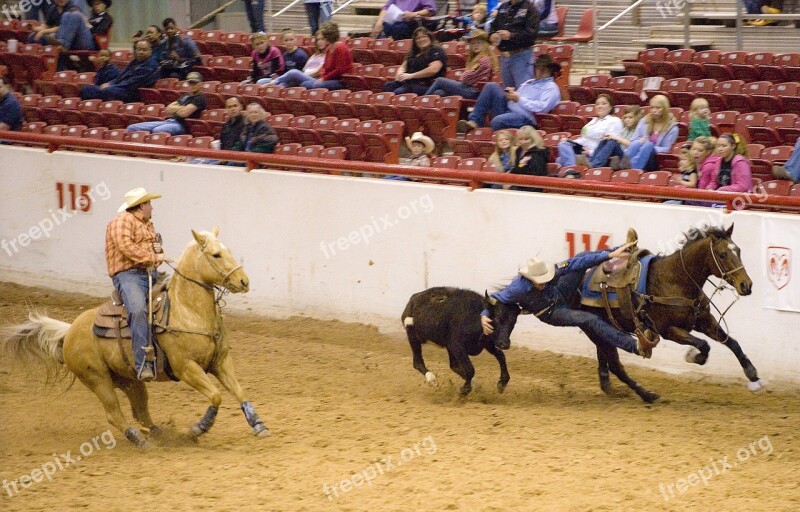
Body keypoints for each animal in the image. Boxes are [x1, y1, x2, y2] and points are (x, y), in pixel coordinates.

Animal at [0, 226, 272, 446]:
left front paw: (259, 425)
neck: (187, 310)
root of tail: (69, 331)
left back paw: (162, 435)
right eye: (216, 255)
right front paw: (198, 429)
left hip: (130, 380)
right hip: (97, 379)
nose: (244, 281)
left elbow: (239, 391)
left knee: (140, 412)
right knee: (114, 414)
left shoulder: (221, 361)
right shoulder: (186, 368)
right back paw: (140, 440)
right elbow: (216, 395)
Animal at [580, 226, 760, 402]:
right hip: (596, 332)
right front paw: (694, 357)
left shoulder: (704, 320)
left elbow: (732, 342)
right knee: (615, 365)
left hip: (602, 333)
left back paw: (610, 387)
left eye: (738, 250)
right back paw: (647, 395)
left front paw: (752, 373)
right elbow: (703, 345)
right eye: (722, 254)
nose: (746, 285)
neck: (675, 280)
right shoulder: (668, 330)